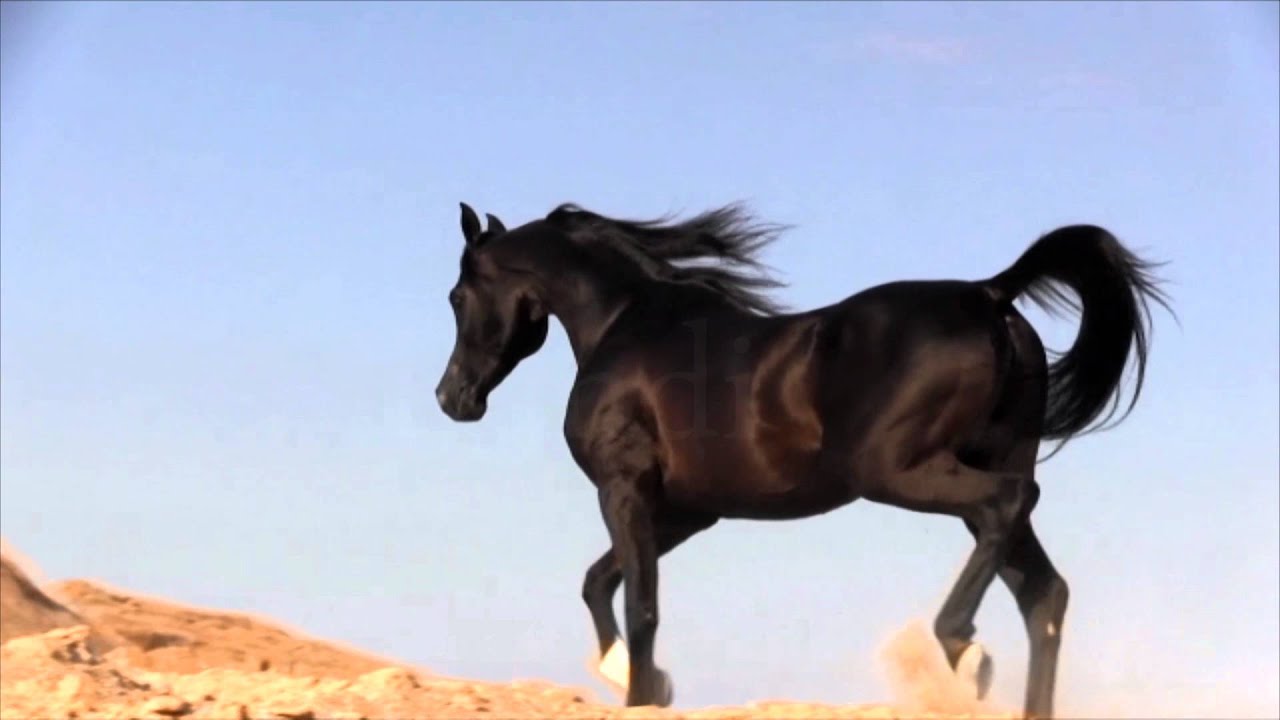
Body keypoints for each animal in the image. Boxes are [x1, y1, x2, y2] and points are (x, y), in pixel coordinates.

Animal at [434, 200, 1170, 719]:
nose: (452, 399)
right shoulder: (688, 512)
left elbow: (641, 605)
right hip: (981, 462)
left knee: (1007, 510)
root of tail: (988, 295)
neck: (626, 325)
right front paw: (637, 679)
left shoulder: (626, 489)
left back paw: (963, 651)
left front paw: (642, 690)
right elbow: (598, 582)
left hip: (899, 472)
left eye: (456, 296)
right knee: (1043, 591)